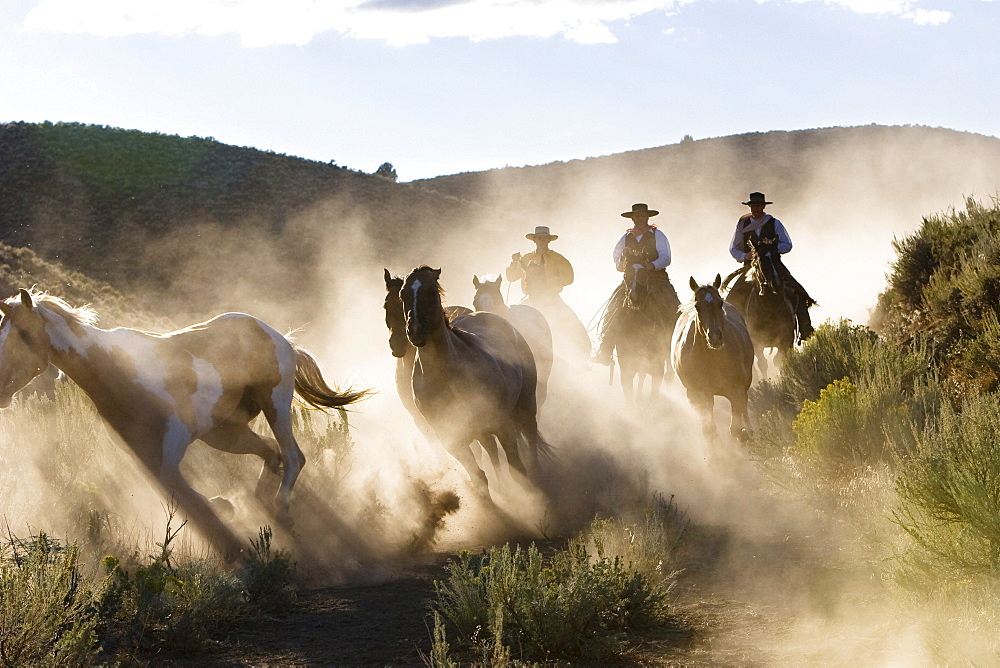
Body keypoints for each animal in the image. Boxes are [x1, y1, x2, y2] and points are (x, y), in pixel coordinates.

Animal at [0, 290, 368, 556]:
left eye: (23, 334)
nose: (1, 389)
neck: (118, 374)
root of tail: (277, 335)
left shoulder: (167, 459)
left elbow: (200, 510)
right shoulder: (149, 463)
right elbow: (193, 506)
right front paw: (227, 510)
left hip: (274, 402)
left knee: (292, 456)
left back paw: (281, 514)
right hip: (225, 433)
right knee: (270, 454)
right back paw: (262, 504)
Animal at [668, 276, 752, 444]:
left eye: (720, 303)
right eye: (697, 306)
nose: (715, 337)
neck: (710, 359)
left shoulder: (736, 390)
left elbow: (735, 429)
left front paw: (744, 437)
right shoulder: (698, 395)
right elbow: (709, 430)